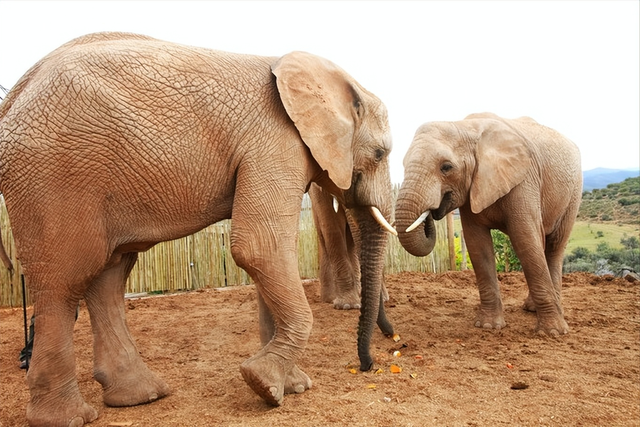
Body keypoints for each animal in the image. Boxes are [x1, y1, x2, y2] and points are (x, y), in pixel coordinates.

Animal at [0, 31, 396, 426]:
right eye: (380, 154)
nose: (370, 364)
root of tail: (14, 95)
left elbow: (266, 254)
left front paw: (291, 386)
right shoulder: (275, 144)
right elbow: (260, 248)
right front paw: (264, 385)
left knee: (108, 276)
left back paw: (141, 396)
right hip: (55, 176)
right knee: (64, 283)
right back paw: (68, 418)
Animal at [396, 113, 580, 338]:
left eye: (446, 167)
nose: (431, 211)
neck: (466, 128)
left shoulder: (524, 180)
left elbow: (525, 240)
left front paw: (553, 333)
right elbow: (478, 245)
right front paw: (488, 327)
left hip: (573, 192)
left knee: (554, 246)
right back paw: (531, 308)